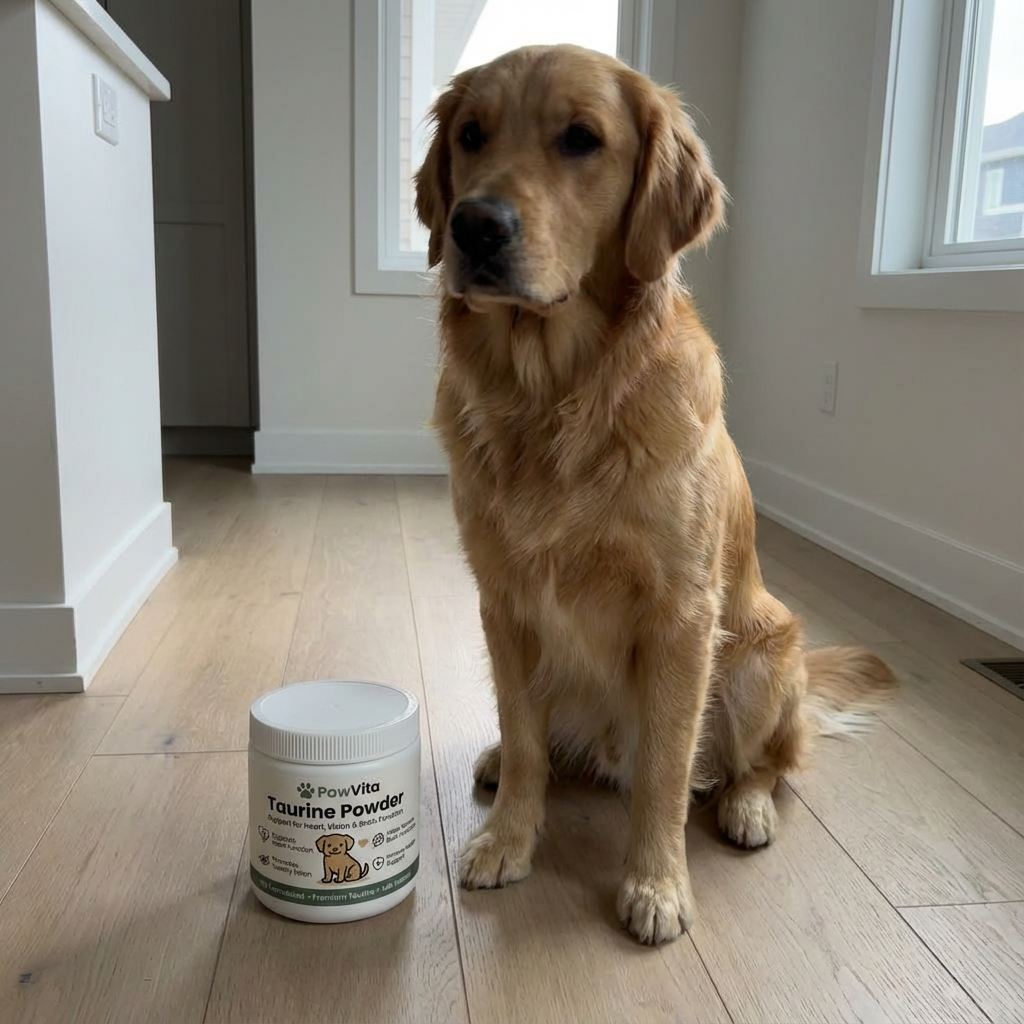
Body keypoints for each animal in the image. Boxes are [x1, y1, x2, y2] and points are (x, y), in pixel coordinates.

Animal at [414, 44, 895, 945]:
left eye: (581, 138)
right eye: (471, 134)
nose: (474, 225)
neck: (554, 396)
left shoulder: (680, 615)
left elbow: (668, 769)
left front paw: (657, 883)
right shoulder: (503, 600)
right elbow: (525, 737)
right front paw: (508, 839)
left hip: (760, 658)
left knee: (771, 763)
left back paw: (746, 808)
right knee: (540, 739)